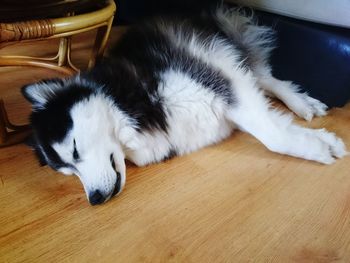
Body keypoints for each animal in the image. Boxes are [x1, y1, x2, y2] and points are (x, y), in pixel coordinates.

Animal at [21, 7, 348, 206]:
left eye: (74, 149)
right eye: (66, 171)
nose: (96, 198)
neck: (129, 101)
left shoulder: (220, 80)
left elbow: (274, 137)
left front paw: (319, 147)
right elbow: (274, 124)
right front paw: (317, 140)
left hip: (222, 47)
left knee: (263, 74)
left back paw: (300, 102)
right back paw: (302, 102)